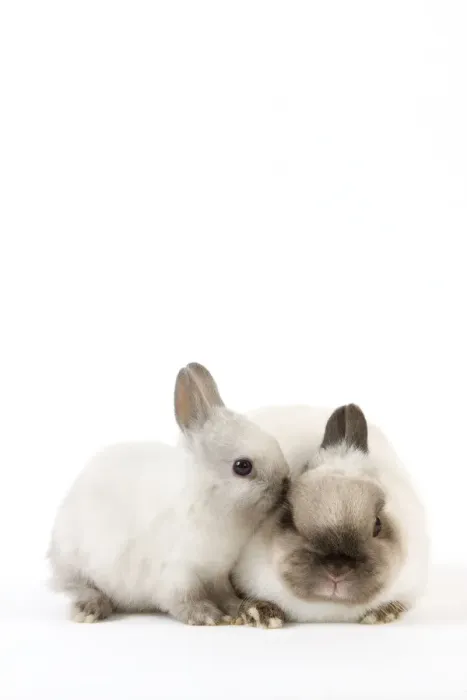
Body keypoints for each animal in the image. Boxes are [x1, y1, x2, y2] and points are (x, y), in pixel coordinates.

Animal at [49, 362, 290, 626]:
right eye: (242, 466)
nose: (285, 484)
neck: (208, 500)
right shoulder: (177, 572)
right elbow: (182, 599)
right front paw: (206, 615)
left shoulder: (217, 573)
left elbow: (225, 595)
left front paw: (242, 609)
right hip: (76, 563)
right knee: (77, 587)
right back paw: (90, 609)